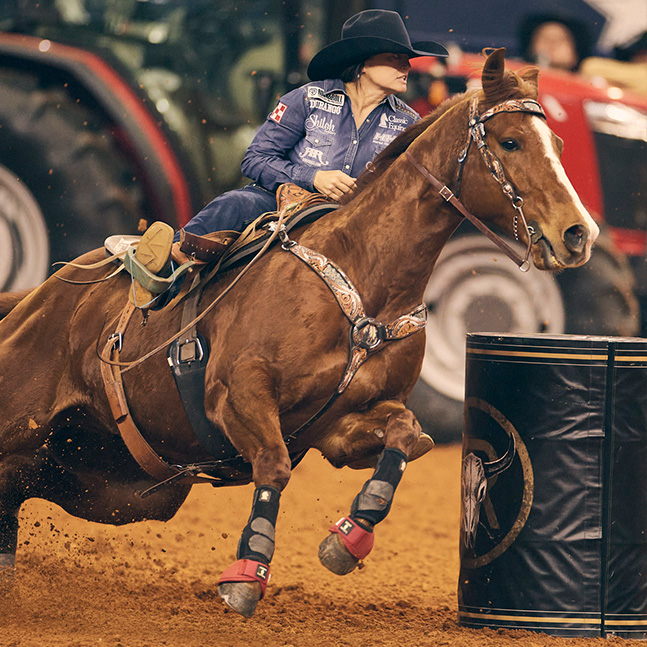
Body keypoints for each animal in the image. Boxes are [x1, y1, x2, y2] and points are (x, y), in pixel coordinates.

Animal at [0, 49, 596, 616]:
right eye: (511, 141)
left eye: (558, 143)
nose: (579, 233)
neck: (362, 278)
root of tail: (38, 296)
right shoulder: (237, 396)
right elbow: (274, 465)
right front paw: (247, 574)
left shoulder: (338, 428)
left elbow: (407, 436)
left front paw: (348, 540)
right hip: (27, 425)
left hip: (106, 477)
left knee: (15, 489)